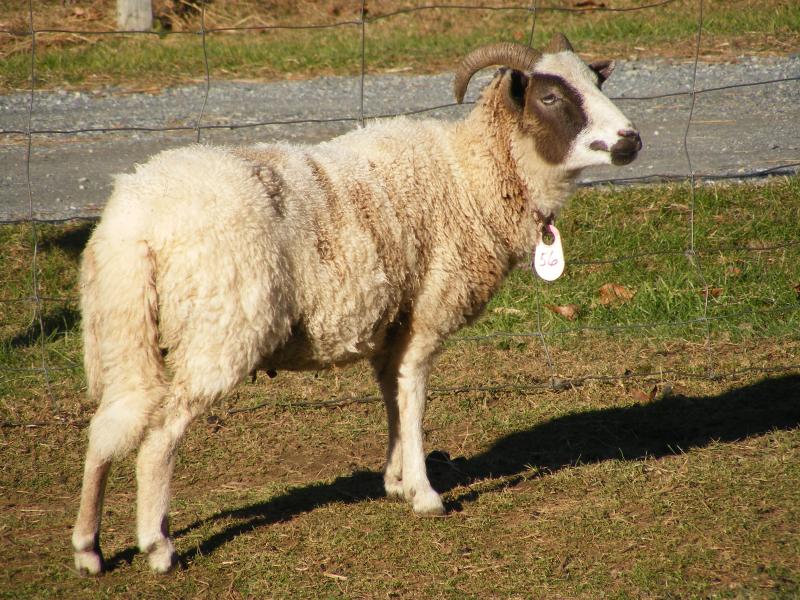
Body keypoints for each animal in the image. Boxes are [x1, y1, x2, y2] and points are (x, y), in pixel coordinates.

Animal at [72, 33, 641, 575]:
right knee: (159, 436)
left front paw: (394, 480)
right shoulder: (427, 313)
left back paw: (88, 549)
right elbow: (413, 397)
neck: (468, 174)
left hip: (122, 324)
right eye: (549, 96)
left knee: (109, 425)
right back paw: (158, 546)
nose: (631, 140)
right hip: (220, 327)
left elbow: (391, 393)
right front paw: (425, 494)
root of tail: (134, 218)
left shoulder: (393, 323)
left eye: (597, 82)